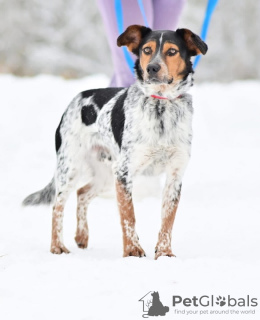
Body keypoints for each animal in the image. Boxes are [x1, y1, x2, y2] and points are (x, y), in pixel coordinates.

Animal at [23, 25, 208, 260]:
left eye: (172, 51)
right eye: (146, 50)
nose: (153, 68)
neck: (161, 106)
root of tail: (76, 99)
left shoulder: (174, 176)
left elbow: (167, 220)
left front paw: (165, 253)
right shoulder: (124, 173)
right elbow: (129, 216)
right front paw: (132, 250)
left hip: (105, 174)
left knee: (82, 193)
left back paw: (82, 236)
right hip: (71, 168)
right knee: (57, 205)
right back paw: (57, 246)